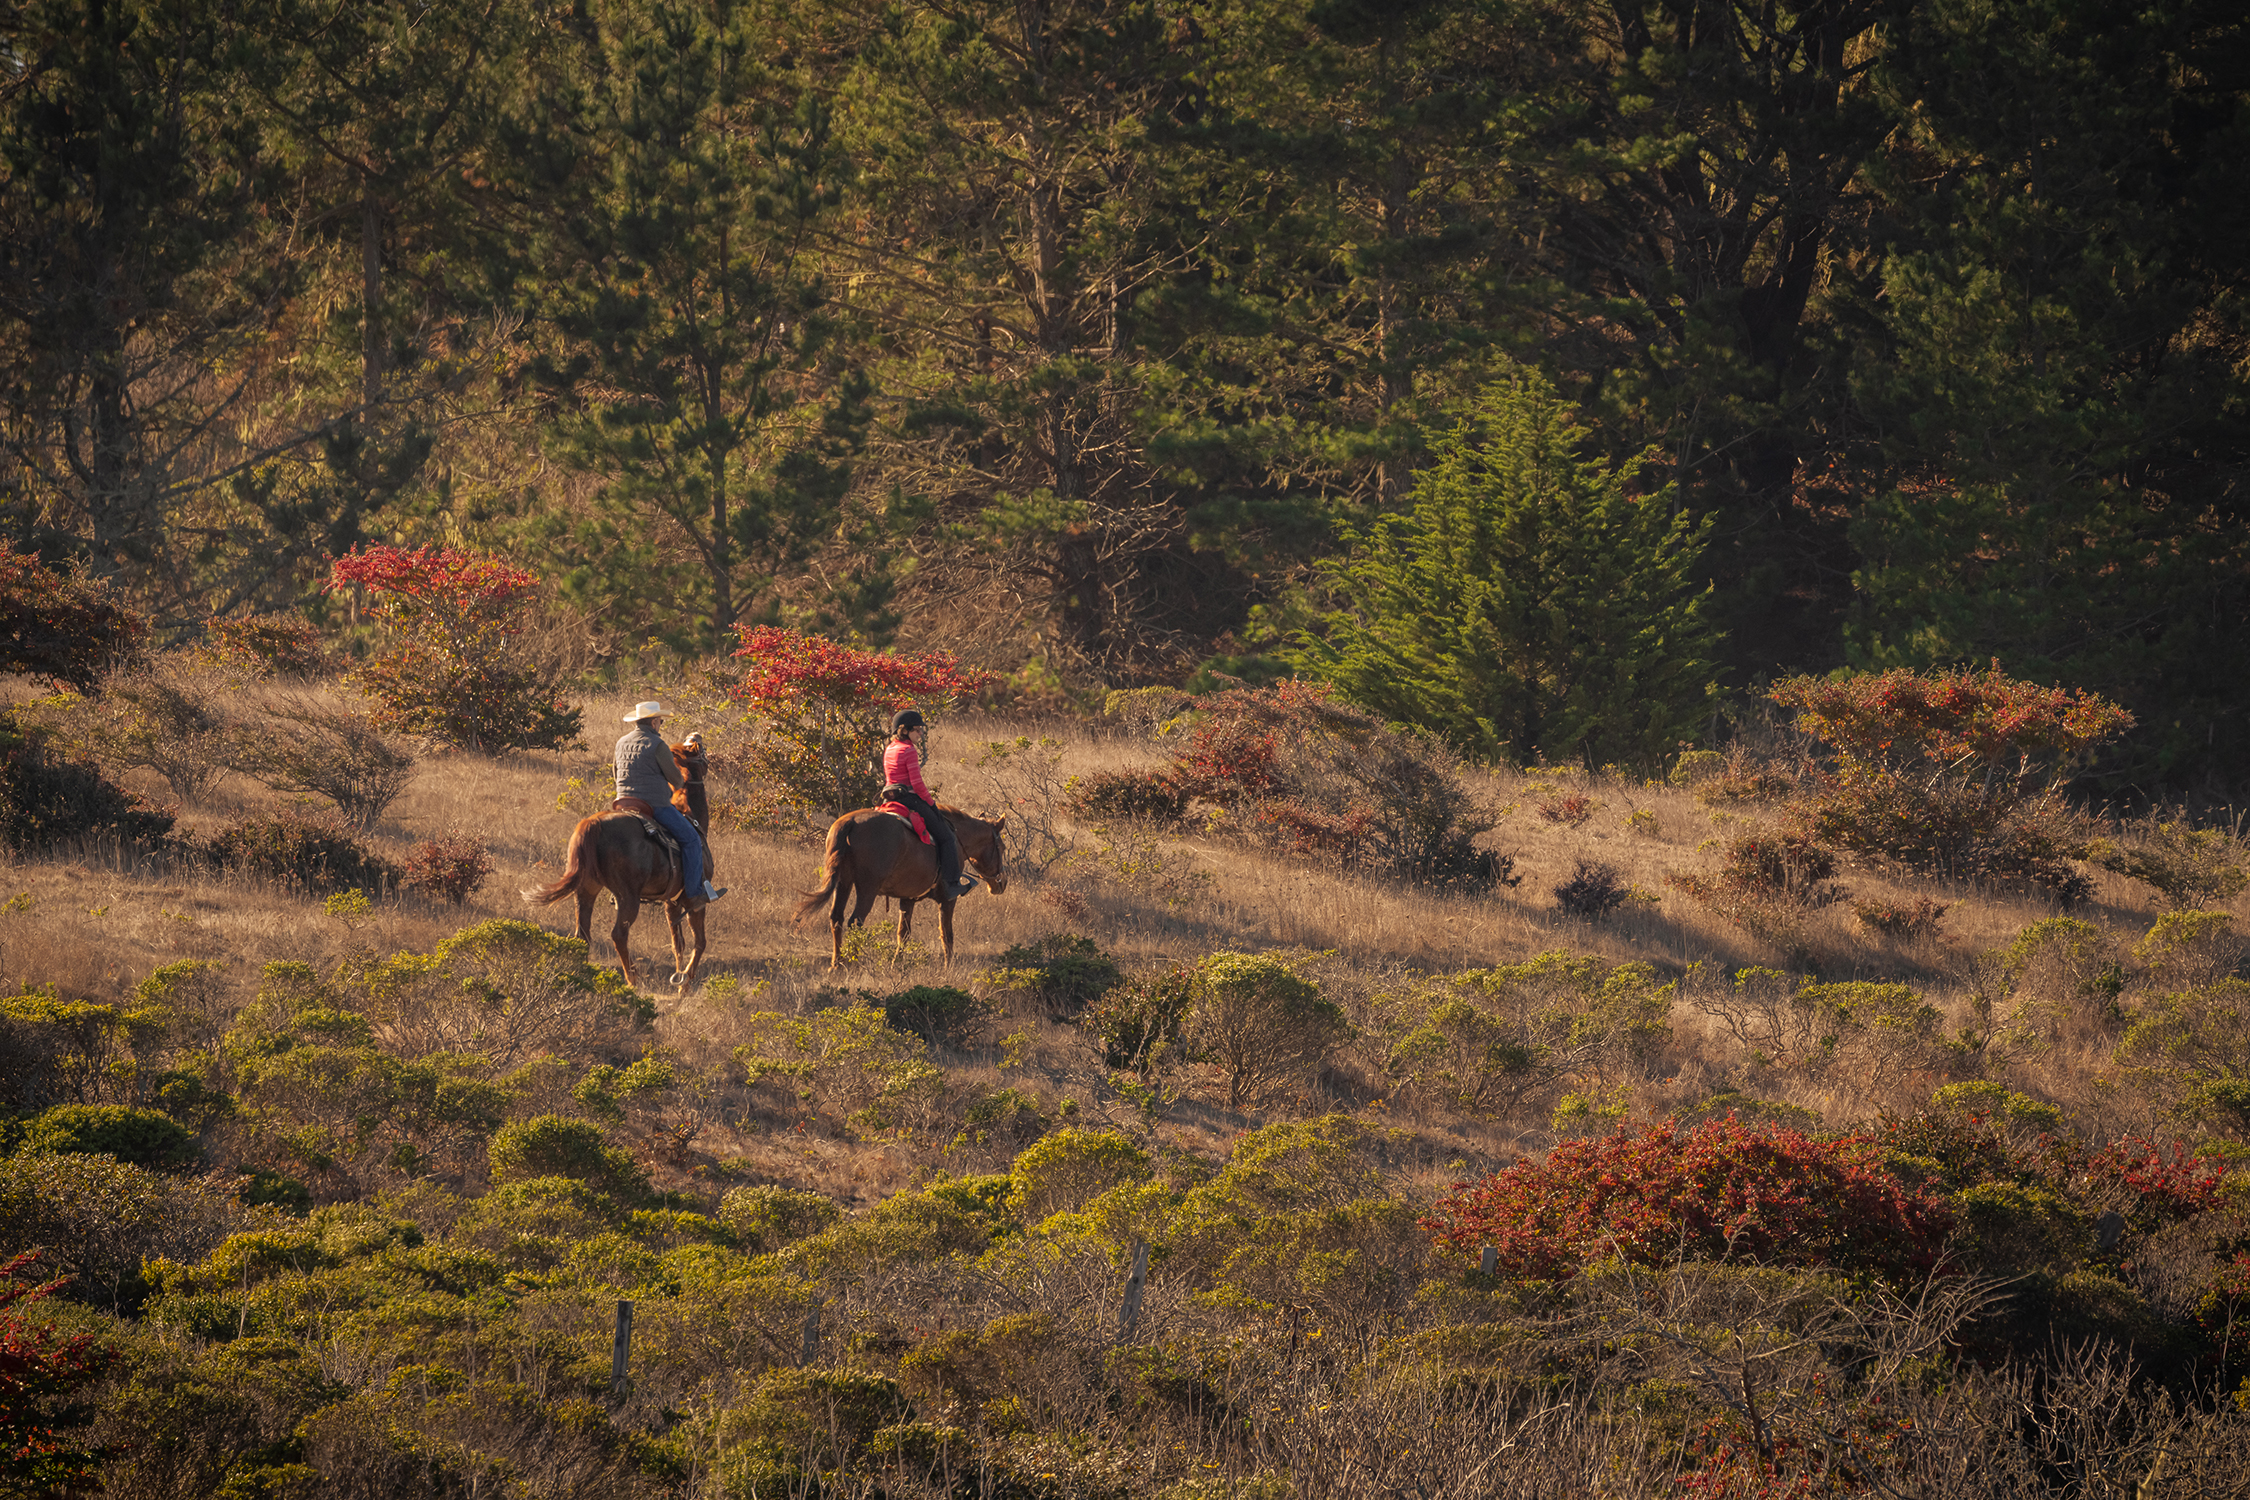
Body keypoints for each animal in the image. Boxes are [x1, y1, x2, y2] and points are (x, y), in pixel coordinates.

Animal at [526, 737, 711, 989]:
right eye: (700, 752)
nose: (697, 738)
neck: (691, 816)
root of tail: (593, 822)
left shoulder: (671, 902)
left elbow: (678, 944)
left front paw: (678, 976)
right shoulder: (694, 899)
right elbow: (699, 942)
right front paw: (685, 983)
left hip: (586, 890)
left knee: (582, 935)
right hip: (627, 897)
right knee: (618, 935)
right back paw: (633, 978)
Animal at [792, 805, 1003, 967]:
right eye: (1002, 847)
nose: (1000, 884)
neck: (957, 840)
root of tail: (850, 822)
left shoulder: (907, 899)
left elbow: (903, 933)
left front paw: (896, 963)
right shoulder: (947, 900)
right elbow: (946, 933)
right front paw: (948, 966)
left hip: (843, 883)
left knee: (837, 918)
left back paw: (837, 964)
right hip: (867, 889)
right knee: (855, 921)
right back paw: (852, 963)